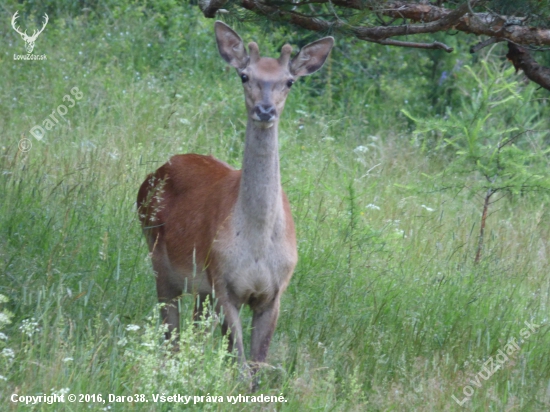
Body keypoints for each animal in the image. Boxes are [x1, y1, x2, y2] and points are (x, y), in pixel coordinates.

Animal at [138, 21, 336, 384]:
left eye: (289, 80)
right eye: (244, 75)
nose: (265, 110)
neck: (256, 244)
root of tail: (153, 175)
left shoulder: (274, 293)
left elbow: (256, 369)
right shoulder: (224, 284)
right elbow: (239, 364)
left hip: (199, 286)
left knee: (192, 330)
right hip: (160, 260)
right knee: (170, 332)